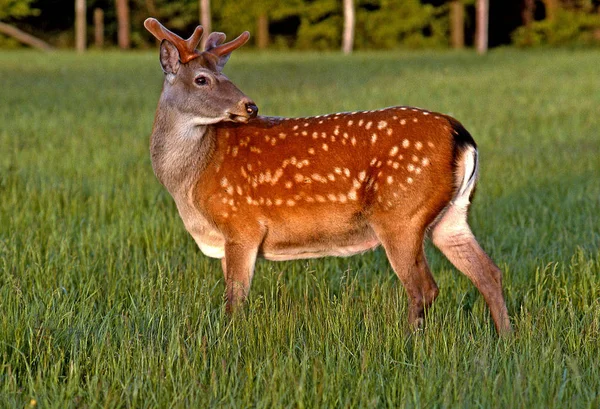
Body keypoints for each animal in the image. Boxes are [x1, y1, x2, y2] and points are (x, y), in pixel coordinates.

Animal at [142, 17, 510, 334]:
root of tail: (460, 134)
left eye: (221, 75)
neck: (192, 181)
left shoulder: (241, 224)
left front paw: (230, 342)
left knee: (424, 287)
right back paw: (506, 339)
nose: (250, 107)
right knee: (489, 273)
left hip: (400, 212)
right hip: (453, 214)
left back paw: (410, 342)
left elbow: (234, 301)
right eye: (202, 79)